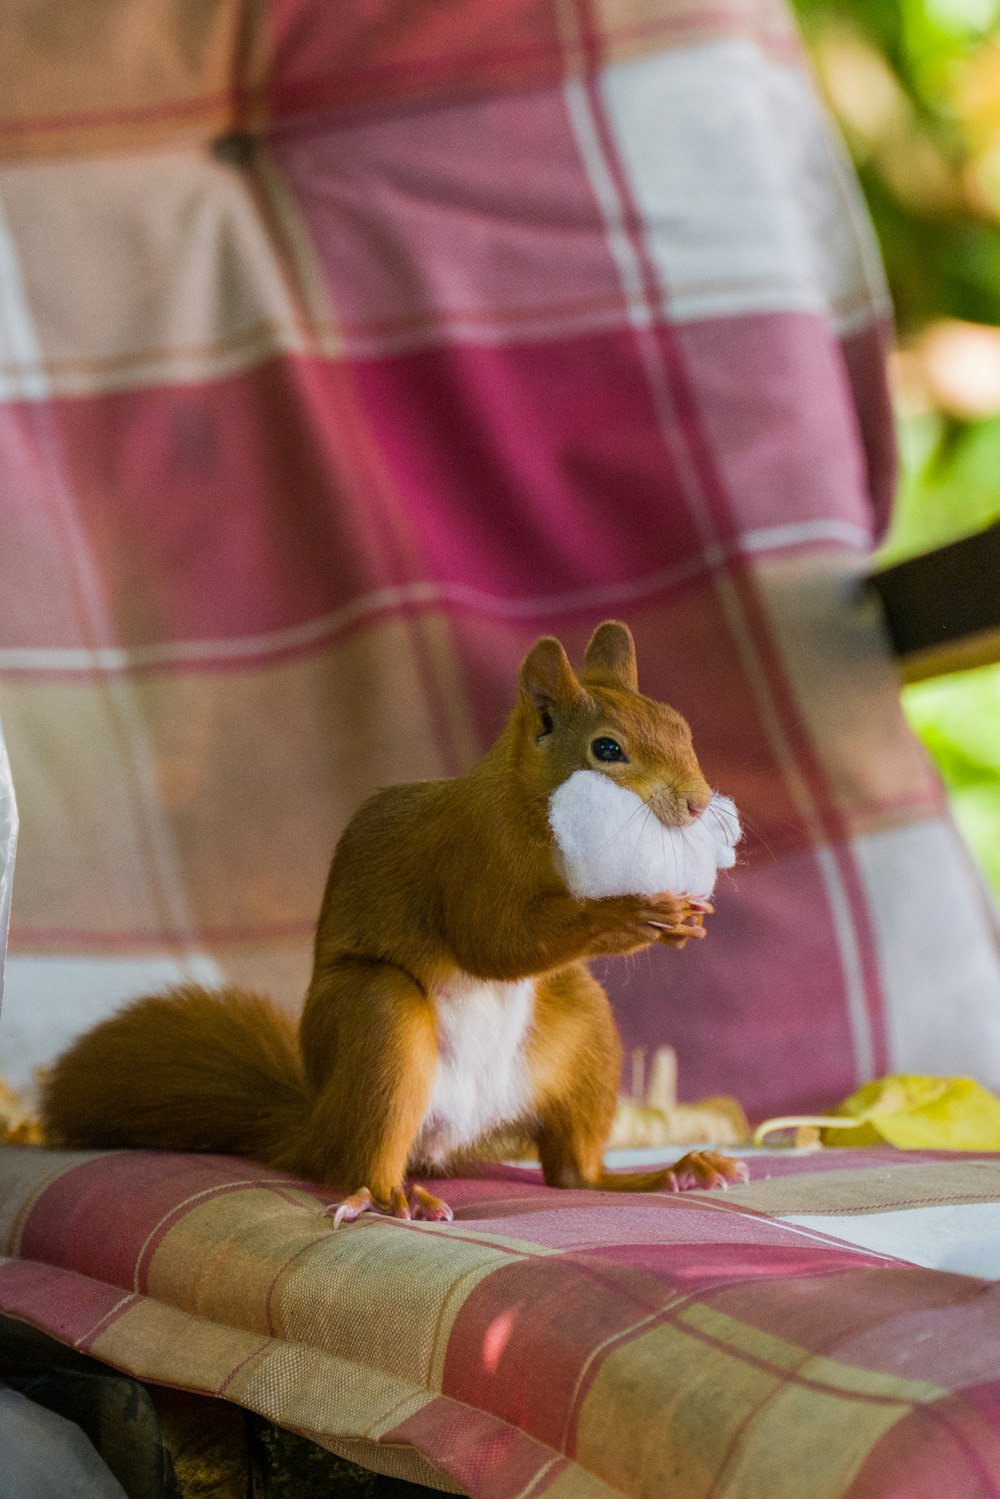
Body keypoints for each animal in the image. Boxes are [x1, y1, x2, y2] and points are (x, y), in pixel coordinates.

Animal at [44, 620, 749, 1217]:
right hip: (377, 1018)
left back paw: (667, 1172)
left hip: (584, 1029)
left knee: (574, 1173)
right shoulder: (469, 859)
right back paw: (388, 1195)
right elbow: (495, 942)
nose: (697, 804)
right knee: (360, 1156)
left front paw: (690, 919)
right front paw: (634, 911)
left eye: (680, 727)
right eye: (607, 749)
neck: (528, 805)